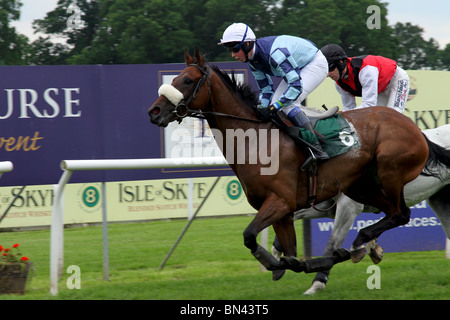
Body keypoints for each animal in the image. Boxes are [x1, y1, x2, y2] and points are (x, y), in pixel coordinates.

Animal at [149, 49, 442, 276]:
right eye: (174, 78)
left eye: (187, 80)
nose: (154, 111)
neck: (256, 138)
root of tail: (415, 129)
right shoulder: (284, 213)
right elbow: (289, 256)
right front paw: (296, 263)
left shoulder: (280, 202)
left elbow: (250, 236)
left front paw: (288, 262)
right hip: (360, 187)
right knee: (391, 213)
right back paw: (361, 245)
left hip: (390, 172)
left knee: (400, 213)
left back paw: (359, 242)